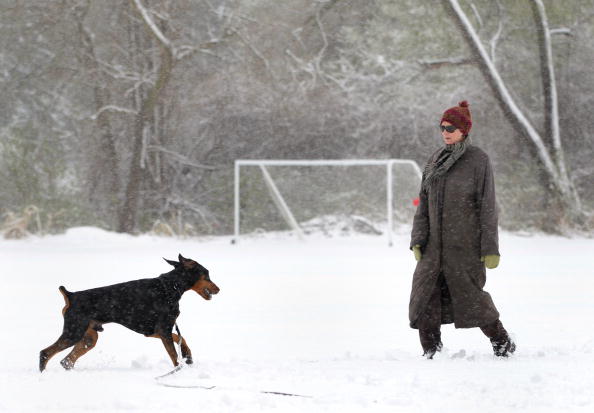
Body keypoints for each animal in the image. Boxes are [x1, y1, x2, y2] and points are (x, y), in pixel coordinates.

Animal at [40, 253, 220, 372]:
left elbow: (181, 339)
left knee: (66, 361)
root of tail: (70, 295)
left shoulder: (154, 331)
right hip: (74, 332)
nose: (218, 289)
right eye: (207, 274)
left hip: (89, 337)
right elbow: (174, 356)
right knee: (45, 353)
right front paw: (178, 372)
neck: (169, 288)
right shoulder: (163, 329)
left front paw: (187, 355)